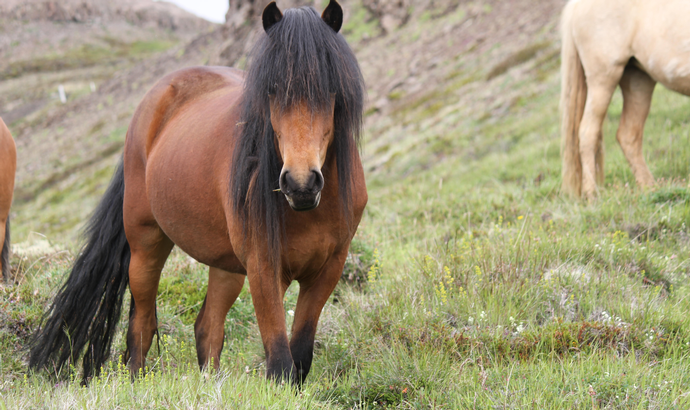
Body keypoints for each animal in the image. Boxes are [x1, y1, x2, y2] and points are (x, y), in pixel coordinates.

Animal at [29, 0, 366, 384]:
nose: (300, 184)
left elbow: (300, 358)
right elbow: (280, 362)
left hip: (227, 266)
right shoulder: (265, 268)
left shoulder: (327, 271)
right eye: (271, 89)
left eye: (331, 88)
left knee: (208, 327)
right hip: (146, 244)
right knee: (142, 325)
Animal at [560, 0, 688, 199]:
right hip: (603, 79)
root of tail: (575, 5)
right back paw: (592, 194)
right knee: (588, 133)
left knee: (628, 136)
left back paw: (650, 189)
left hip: (638, 80)